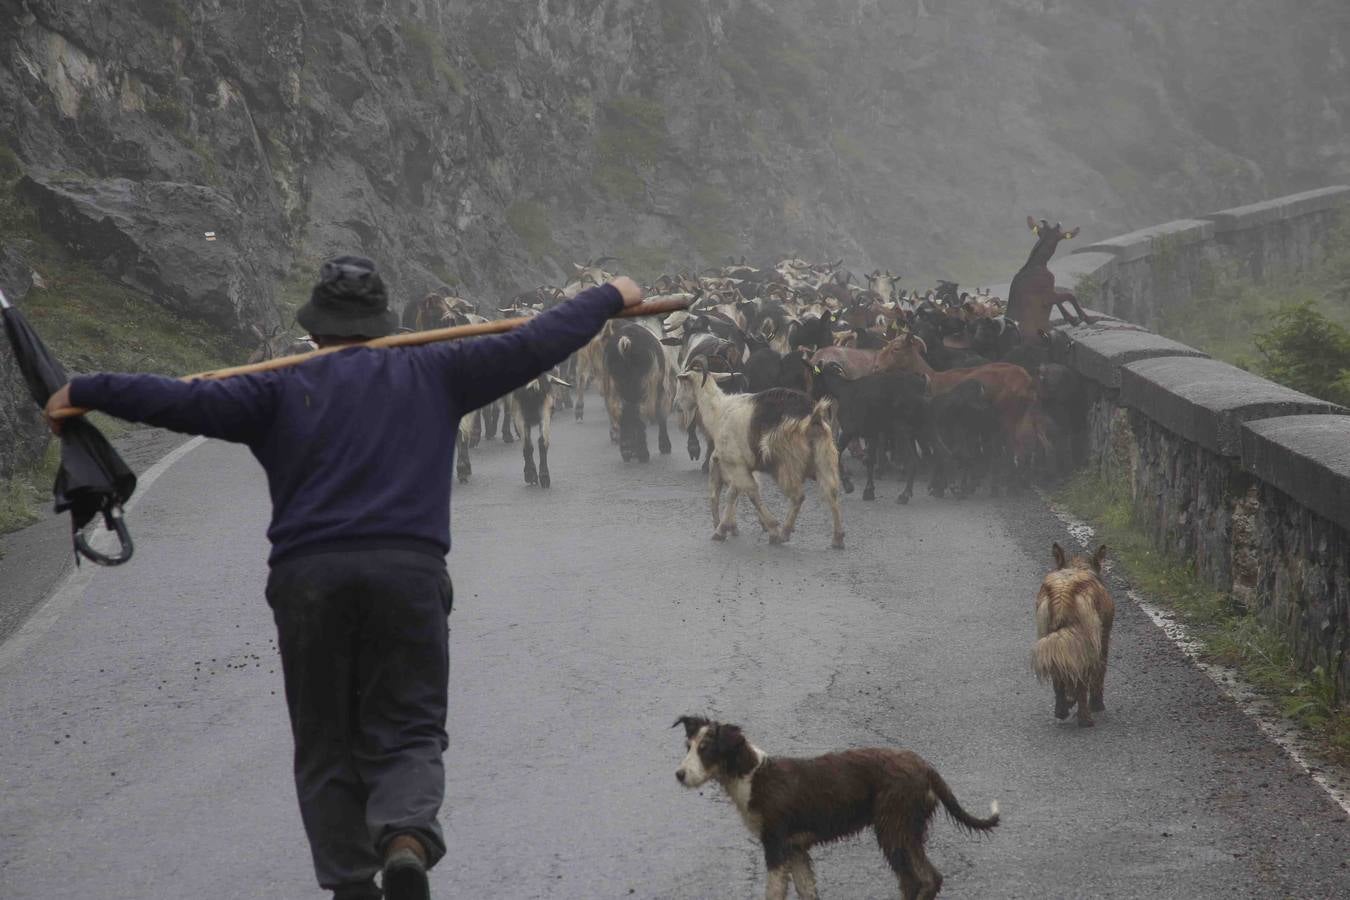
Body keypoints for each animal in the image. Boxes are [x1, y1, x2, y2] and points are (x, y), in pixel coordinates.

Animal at [672, 717, 999, 900]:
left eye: (706, 750)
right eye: (688, 747)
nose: (679, 775)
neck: (753, 776)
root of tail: (925, 766)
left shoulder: (776, 846)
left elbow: (773, 893)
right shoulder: (795, 849)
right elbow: (807, 891)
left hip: (893, 826)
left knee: (919, 879)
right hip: (907, 828)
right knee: (926, 879)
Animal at [1031, 542, 1117, 723]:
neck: (1078, 566)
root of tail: (1064, 591)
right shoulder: (1103, 639)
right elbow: (1099, 673)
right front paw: (1097, 704)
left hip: (1051, 637)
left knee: (1058, 674)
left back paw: (1061, 710)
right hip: (1086, 641)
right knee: (1082, 678)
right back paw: (1085, 718)